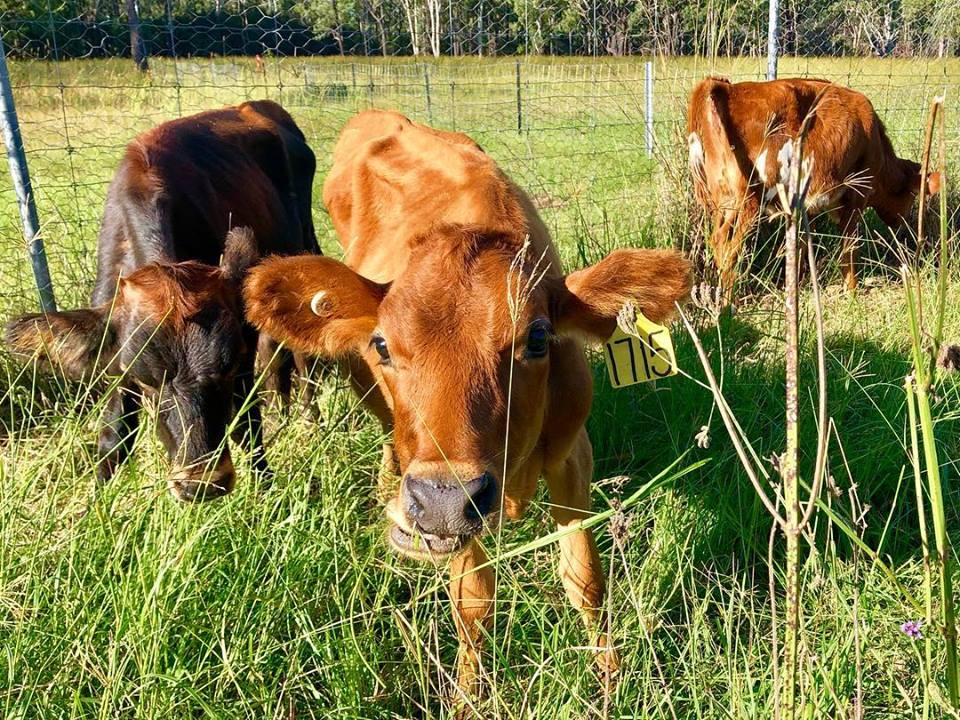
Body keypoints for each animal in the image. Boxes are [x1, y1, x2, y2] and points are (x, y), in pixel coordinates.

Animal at [6, 100, 319, 502]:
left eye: (228, 366)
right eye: (147, 382)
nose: (202, 484)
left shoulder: (241, 350)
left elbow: (247, 424)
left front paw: (266, 490)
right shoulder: (116, 354)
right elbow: (114, 438)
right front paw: (97, 505)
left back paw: (311, 420)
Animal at [242, 110, 692, 694]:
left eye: (538, 339)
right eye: (381, 345)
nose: (439, 502)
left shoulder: (572, 455)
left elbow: (585, 577)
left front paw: (610, 677)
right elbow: (474, 601)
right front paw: (469, 694)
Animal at [687, 76, 940, 301]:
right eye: (912, 195)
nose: (902, 223)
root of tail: (720, 86)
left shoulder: (802, 205)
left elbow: (798, 248)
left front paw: (796, 288)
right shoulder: (857, 193)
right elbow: (850, 248)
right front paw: (852, 293)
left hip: (723, 202)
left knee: (717, 241)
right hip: (748, 200)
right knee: (727, 246)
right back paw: (729, 304)